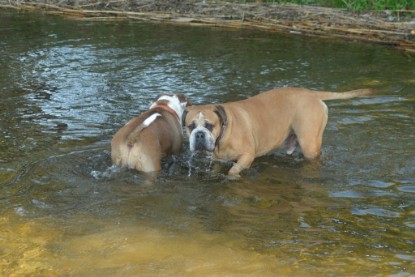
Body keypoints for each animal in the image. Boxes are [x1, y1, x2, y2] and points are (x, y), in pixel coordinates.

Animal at [184, 86, 374, 177]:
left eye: (209, 125)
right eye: (190, 126)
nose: (199, 134)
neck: (223, 133)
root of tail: (311, 93)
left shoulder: (247, 156)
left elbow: (233, 171)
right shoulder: (217, 160)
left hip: (309, 144)